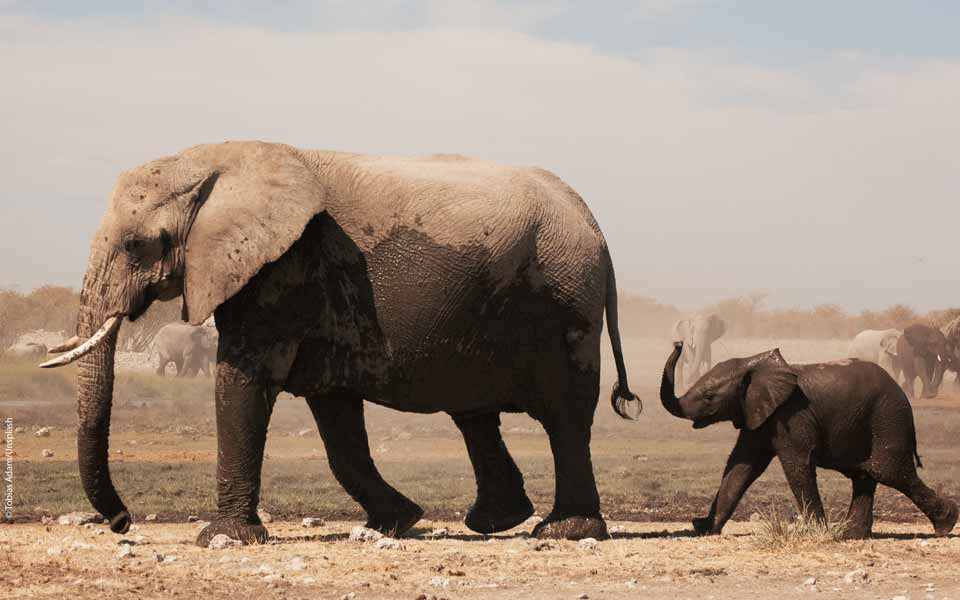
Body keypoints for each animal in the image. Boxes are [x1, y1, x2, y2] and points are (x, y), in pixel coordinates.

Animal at [39, 143, 636, 548]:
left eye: (136, 245)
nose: (122, 523)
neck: (215, 161)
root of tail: (593, 222)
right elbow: (335, 420)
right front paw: (397, 522)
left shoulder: (284, 269)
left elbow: (243, 382)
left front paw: (222, 538)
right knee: (474, 413)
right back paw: (494, 522)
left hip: (564, 301)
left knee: (564, 416)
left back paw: (564, 530)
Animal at [656, 342, 956, 540]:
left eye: (709, 397)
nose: (678, 343)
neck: (752, 363)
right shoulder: (760, 415)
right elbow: (741, 467)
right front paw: (706, 529)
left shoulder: (792, 415)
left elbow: (796, 465)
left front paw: (817, 533)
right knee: (865, 474)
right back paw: (851, 535)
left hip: (888, 418)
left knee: (888, 471)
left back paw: (947, 524)